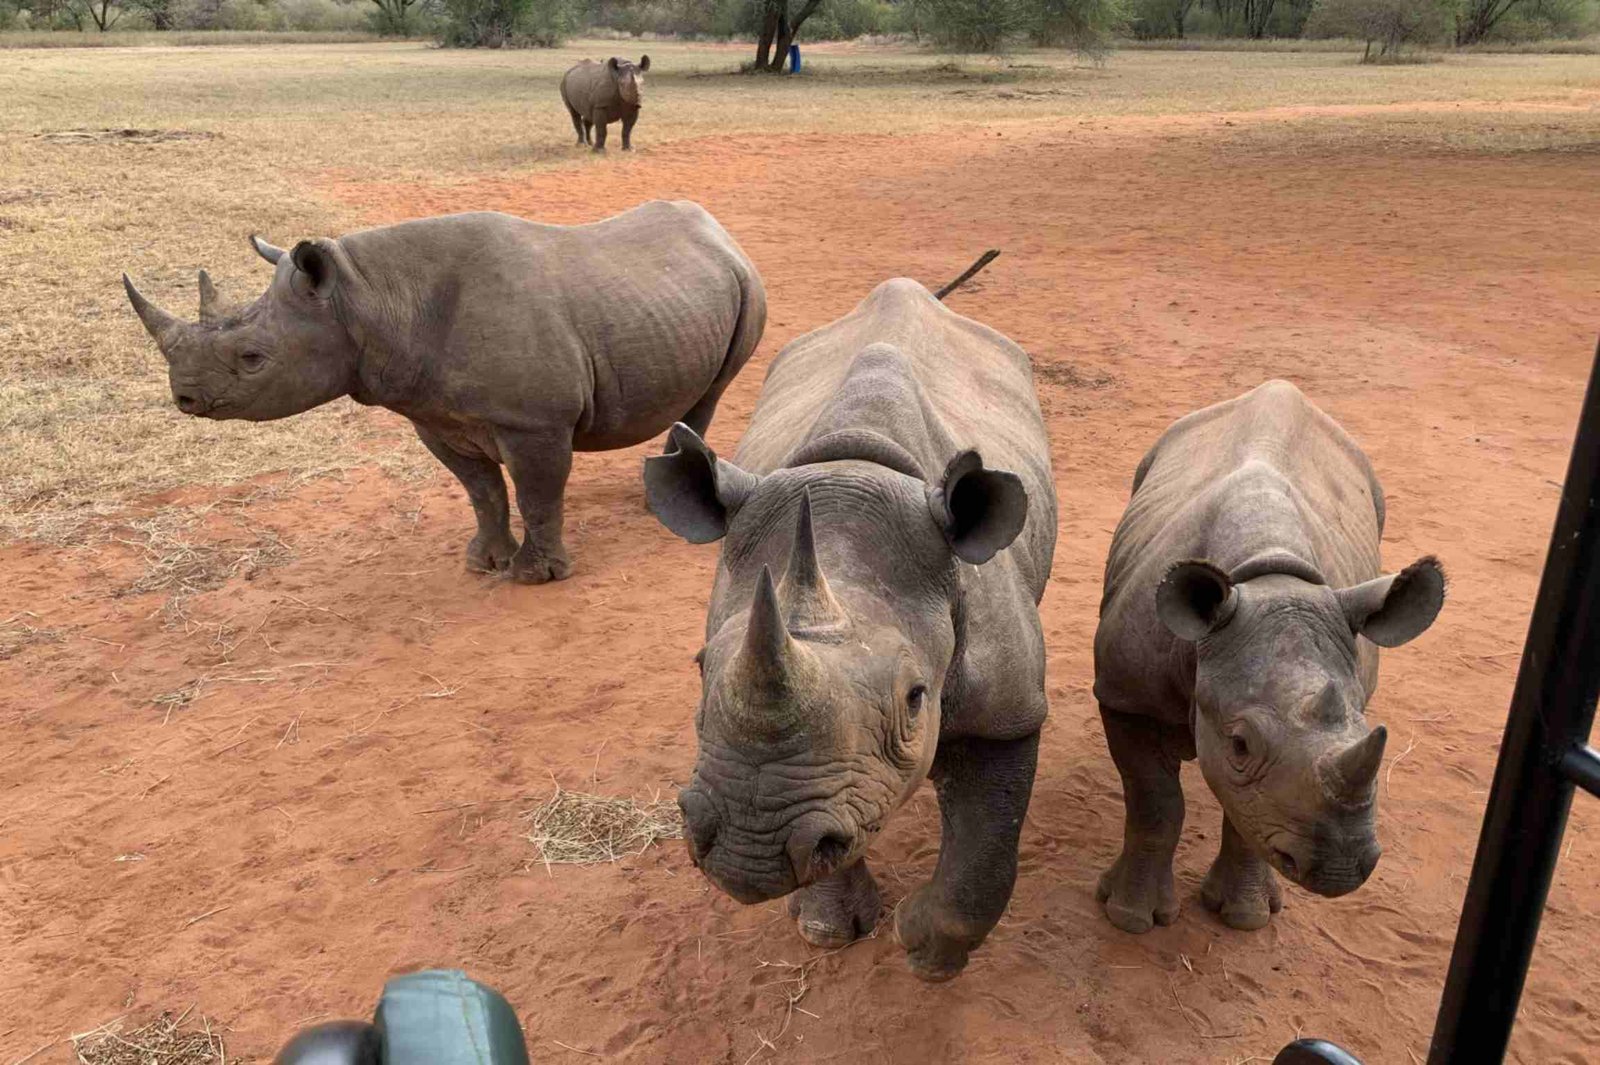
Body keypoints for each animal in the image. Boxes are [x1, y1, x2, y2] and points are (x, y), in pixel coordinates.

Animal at [123, 201, 765, 584]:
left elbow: (537, 493)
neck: (369, 295)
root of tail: (720, 229)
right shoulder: (435, 416)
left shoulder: (535, 422)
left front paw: (535, 577)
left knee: (711, 391)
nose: (184, 399)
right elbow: (482, 491)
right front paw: (484, 564)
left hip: (746, 283)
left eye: (253, 360)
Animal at [645, 275, 1056, 981]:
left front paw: (923, 949)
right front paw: (828, 929)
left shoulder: (1010, 708)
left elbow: (986, 854)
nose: (749, 850)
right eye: (699, 671)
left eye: (916, 699)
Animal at [1093, 380, 1445, 933]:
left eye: (1368, 729)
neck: (1269, 576)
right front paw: (1130, 917)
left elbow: (1249, 815)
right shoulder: (1127, 696)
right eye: (1239, 744)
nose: (1341, 868)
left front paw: (1247, 915)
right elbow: (1155, 803)